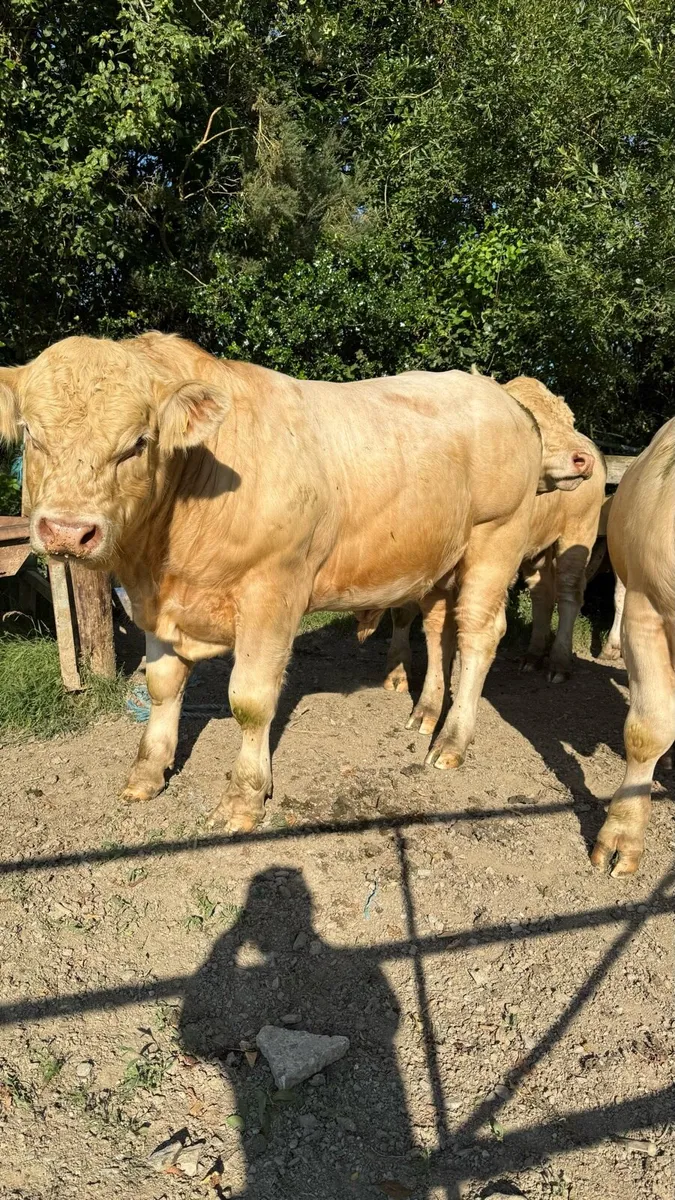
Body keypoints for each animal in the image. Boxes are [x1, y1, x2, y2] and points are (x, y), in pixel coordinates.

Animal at [364, 377, 603, 734]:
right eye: (534, 424)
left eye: (569, 419)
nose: (582, 459)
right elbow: (406, 614)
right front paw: (398, 672)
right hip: (535, 552)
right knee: (542, 594)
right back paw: (533, 656)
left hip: (578, 534)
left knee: (570, 595)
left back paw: (558, 663)